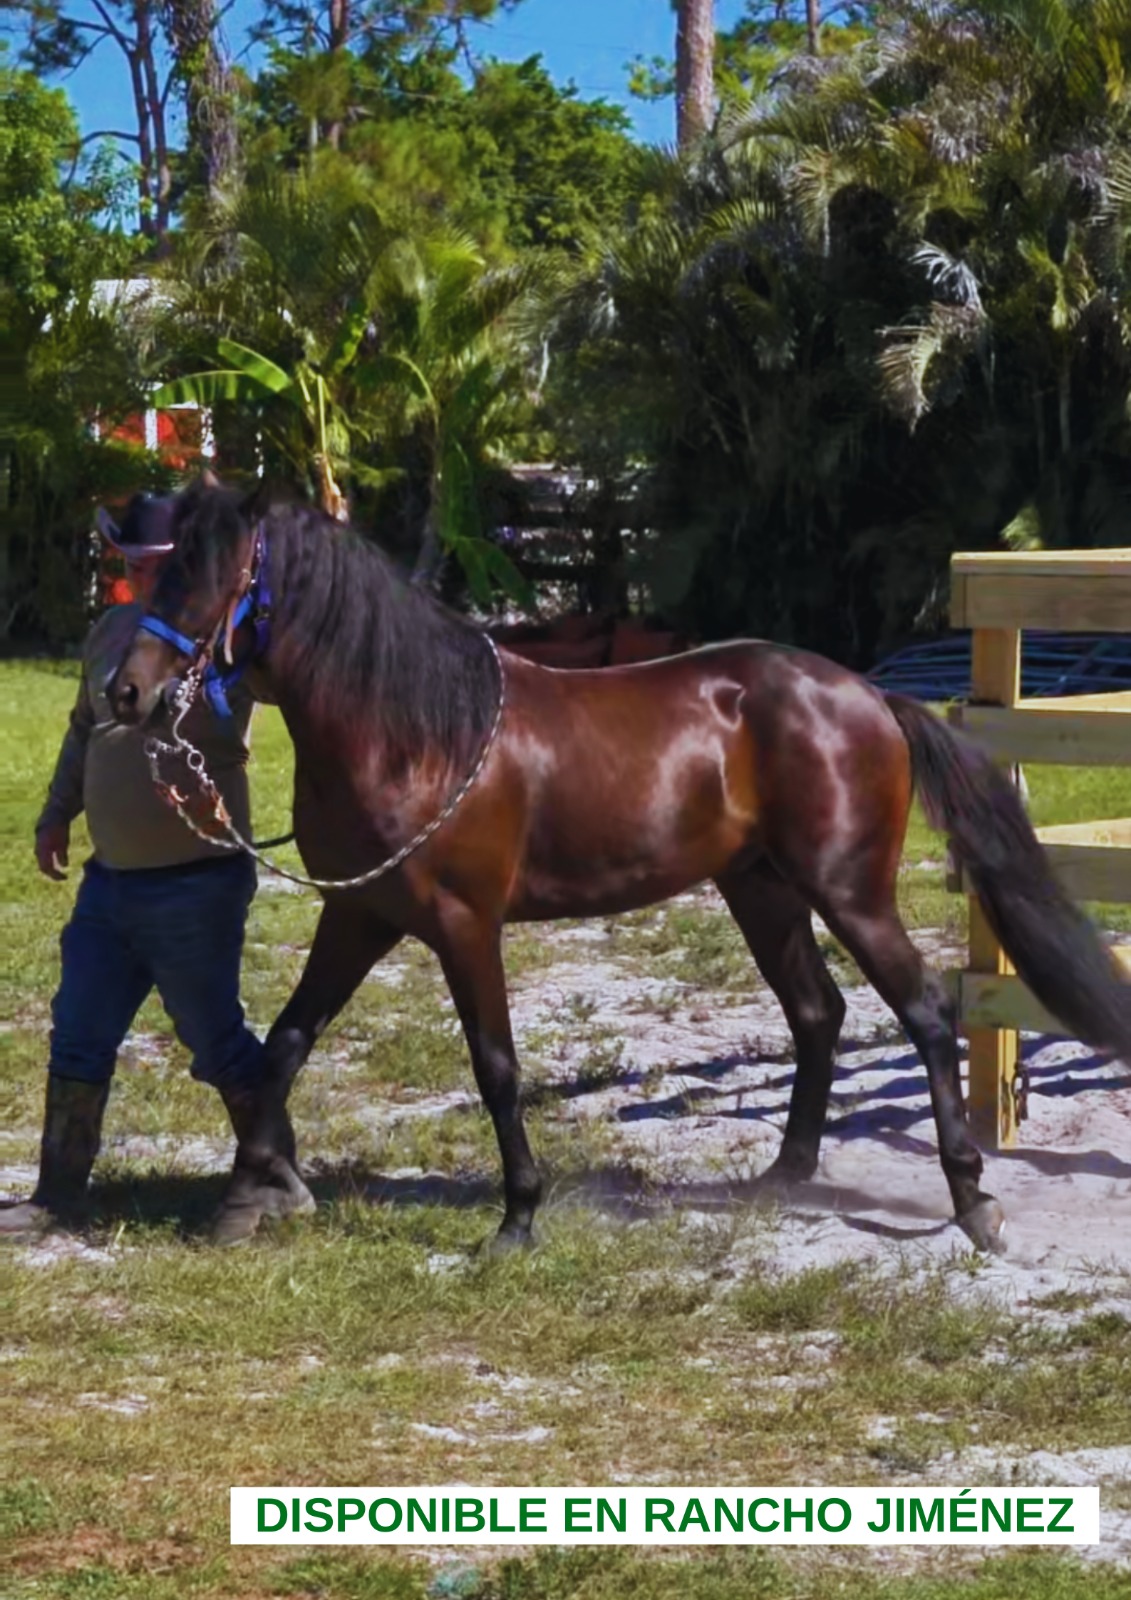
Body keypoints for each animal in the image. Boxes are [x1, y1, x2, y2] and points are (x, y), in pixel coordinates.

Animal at [108, 480, 1131, 1252]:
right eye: (164, 566)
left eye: (214, 576)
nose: (128, 692)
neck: (414, 735)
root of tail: (869, 694)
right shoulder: (357, 917)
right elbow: (282, 1045)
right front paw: (246, 1197)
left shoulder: (463, 926)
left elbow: (495, 1065)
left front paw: (516, 1219)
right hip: (760, 890)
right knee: (817, 1014)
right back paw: (784, 1176)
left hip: (849, 892)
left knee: (923, 1013)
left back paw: (972, 1202)